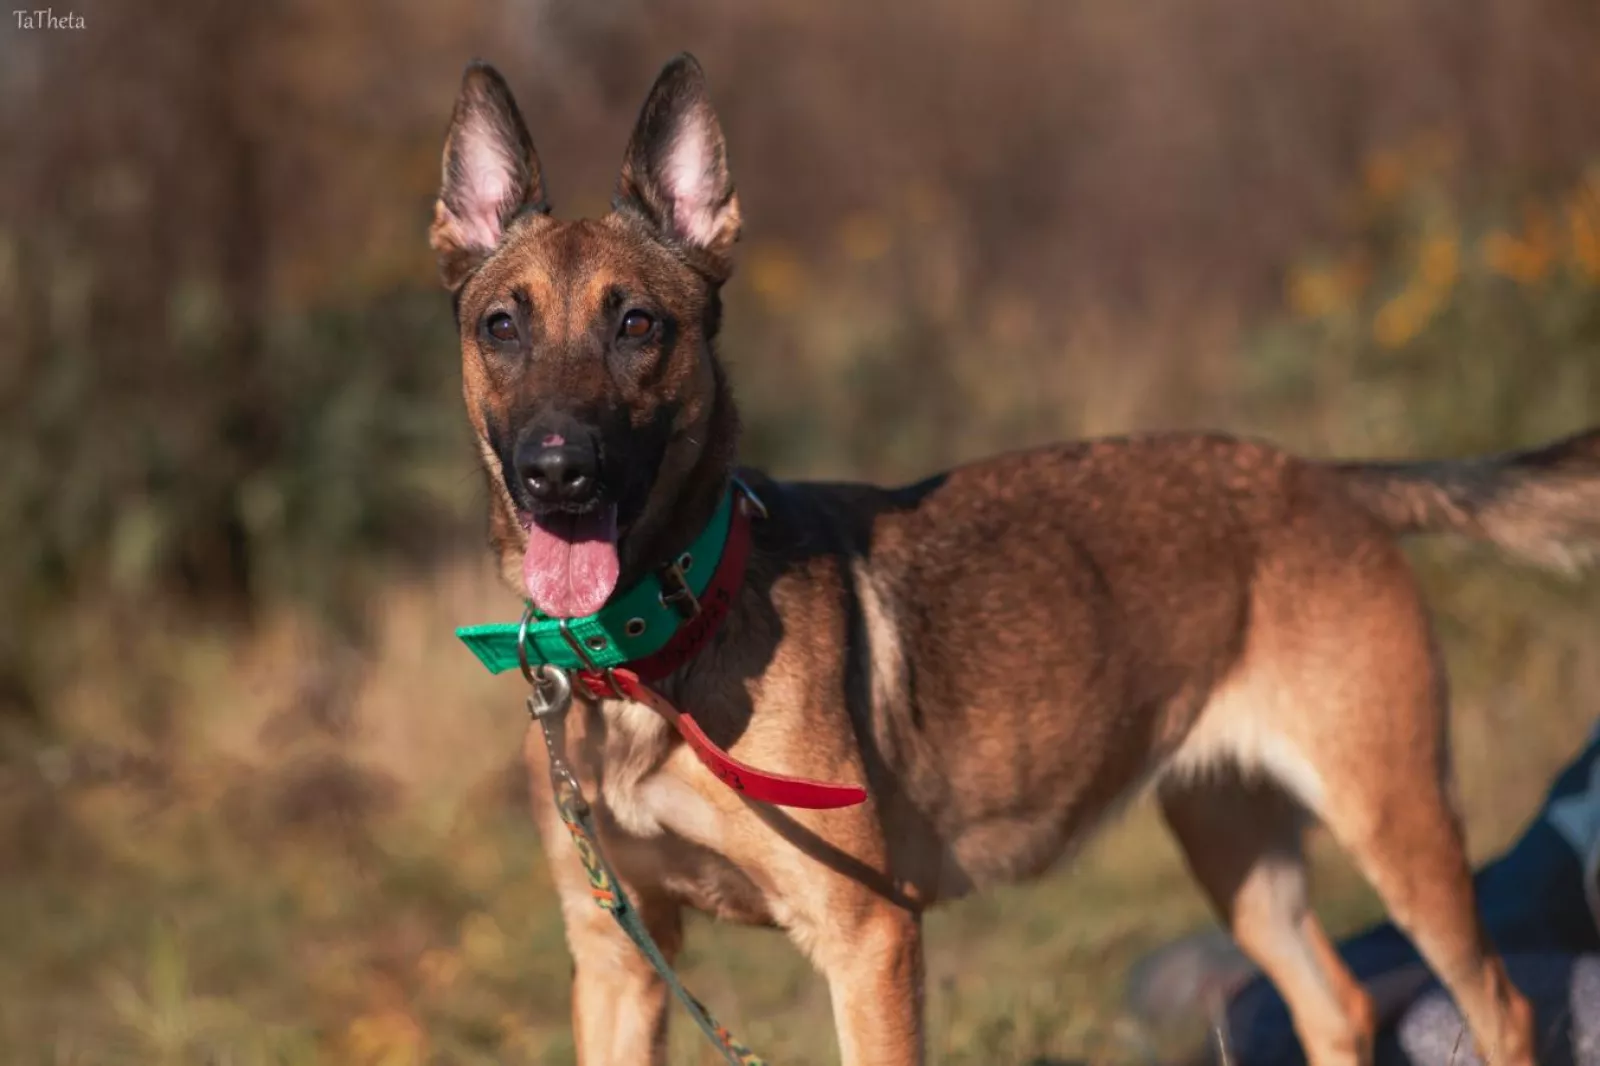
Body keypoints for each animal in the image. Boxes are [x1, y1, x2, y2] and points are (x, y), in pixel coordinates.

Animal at [429, 52, 1600, 1066]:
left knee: (1496, 1005)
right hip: (1235, 845)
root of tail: (1321, 475)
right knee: (1339, 1004)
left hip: (1394, 816)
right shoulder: (618, 959)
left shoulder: (867, 941)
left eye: (637, 325)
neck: (650, 646)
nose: (556, 473)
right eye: (501, 328)